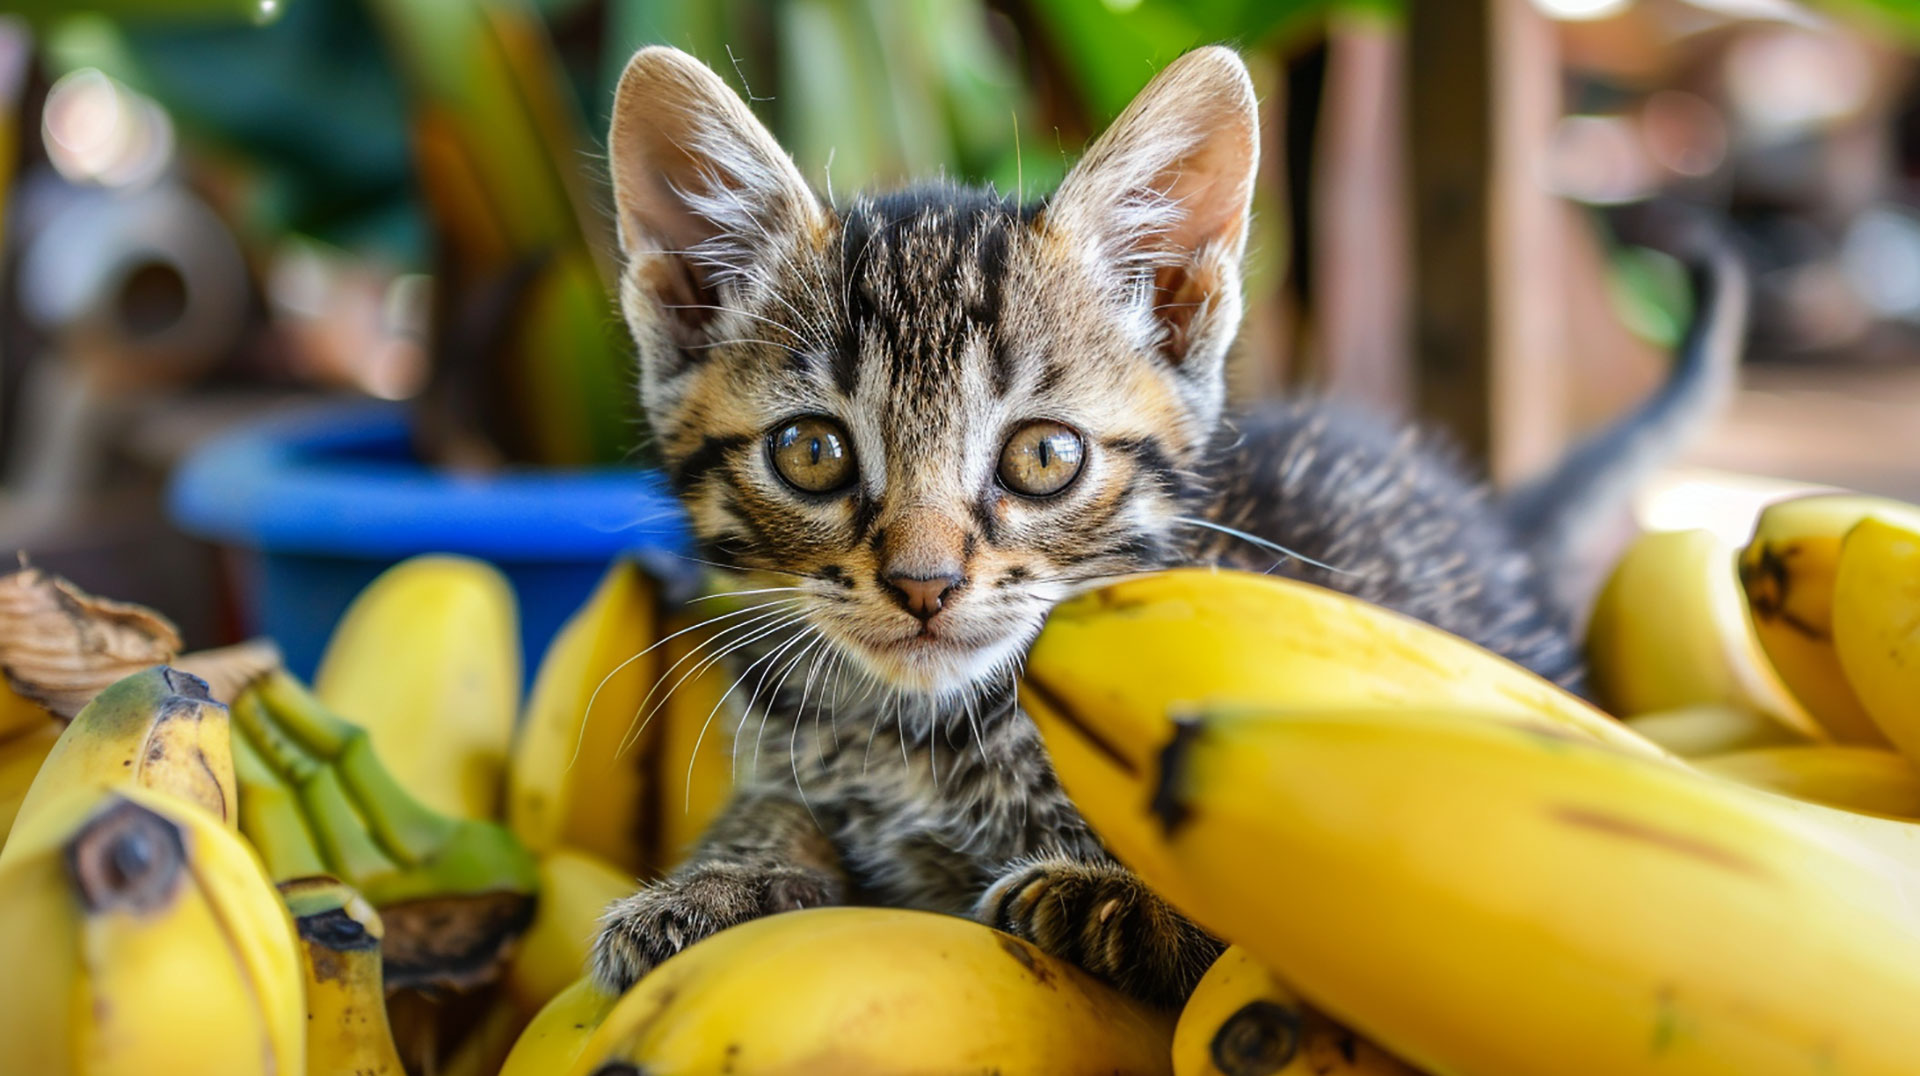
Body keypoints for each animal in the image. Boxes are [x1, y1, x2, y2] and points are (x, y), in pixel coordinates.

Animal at [587, 44, 1743, 999]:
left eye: (1043, 458)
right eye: (813, 452)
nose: (924, 584)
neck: (921, 734)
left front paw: (1115, 898)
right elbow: (776, 804)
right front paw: (723, 875)